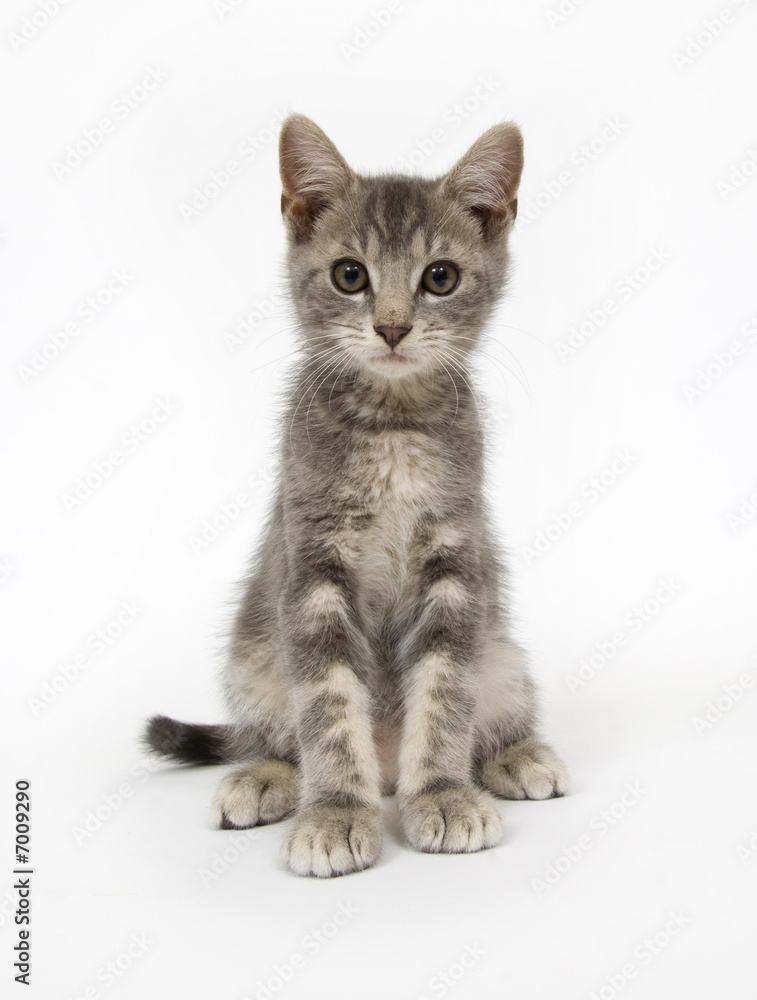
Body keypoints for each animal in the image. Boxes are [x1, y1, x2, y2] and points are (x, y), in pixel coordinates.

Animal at [143, 115, 568, 876]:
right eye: (350, 276)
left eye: (439, 277)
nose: (393, 326)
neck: (391, 426)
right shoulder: (312, 566)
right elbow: (328, 704)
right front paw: (336, 811)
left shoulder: (457, 565)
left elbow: (445, 692)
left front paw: (443, 794)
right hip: (252, 652)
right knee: (271, 732)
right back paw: (265, 775)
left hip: (502, 652)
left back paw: (513, 756)